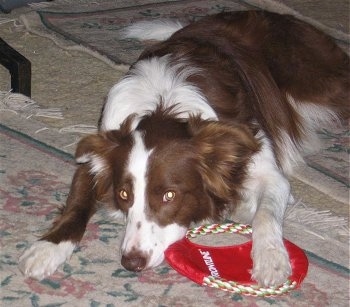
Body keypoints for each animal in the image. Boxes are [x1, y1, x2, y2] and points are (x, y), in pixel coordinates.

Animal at [19, 10, 350, 288]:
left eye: (169, 196)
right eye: (124, 195)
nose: (131, 263)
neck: (163, 107)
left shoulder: (269, 173)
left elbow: (266, 215)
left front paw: (271, 259)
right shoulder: (97, 157)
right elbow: (76, 203)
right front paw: (47, 248)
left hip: (322, 85)